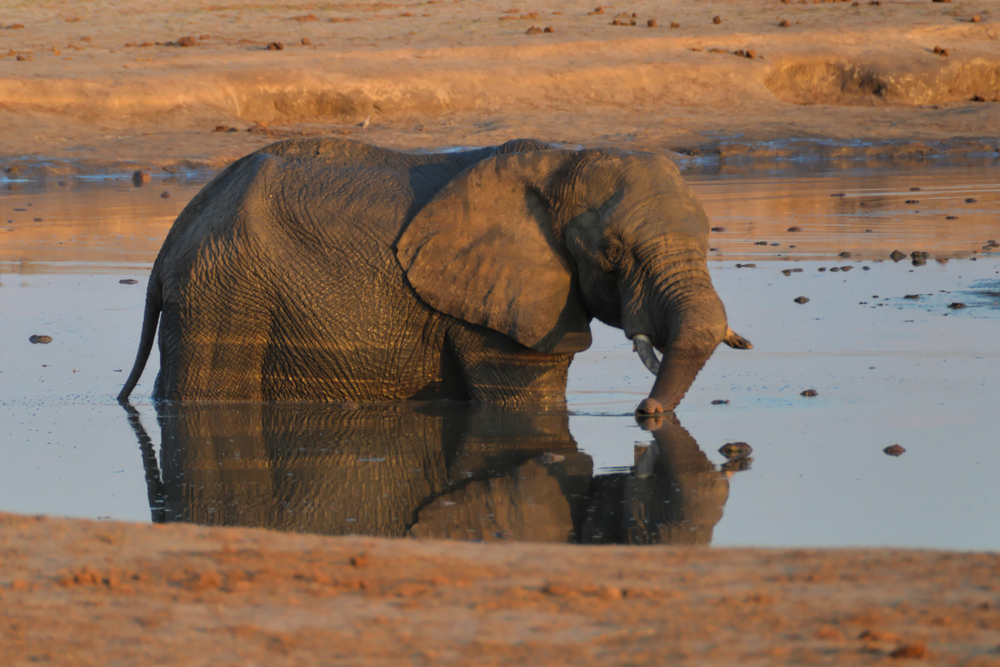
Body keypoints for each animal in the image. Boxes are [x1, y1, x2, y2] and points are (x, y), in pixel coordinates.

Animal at [115, 138, 752, 412]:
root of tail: (178, 229)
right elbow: (526, 399)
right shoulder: (494, 307)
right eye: (612, 251)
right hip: (224, 291)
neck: (560, 160)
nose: (645, 413)